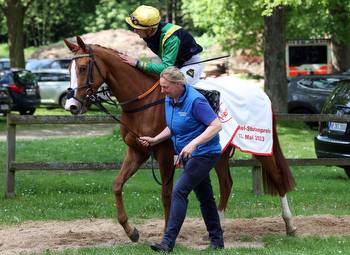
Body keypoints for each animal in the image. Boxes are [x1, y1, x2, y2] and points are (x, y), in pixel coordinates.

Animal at [64, 35, 296, 241]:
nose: (72, 105)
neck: (143, 103)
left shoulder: (165, 154)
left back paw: (290, 225)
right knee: (226, 184)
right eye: (68, 70)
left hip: (260, 146)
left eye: (83, 68)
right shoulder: (138, 151)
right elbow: (117, 185)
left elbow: (166, 194)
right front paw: (131, 231)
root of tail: (261, 92)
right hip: (219, 152)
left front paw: (167, 233)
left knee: (278, 179)